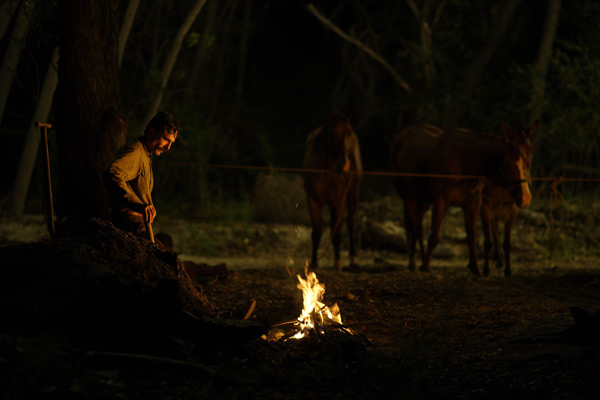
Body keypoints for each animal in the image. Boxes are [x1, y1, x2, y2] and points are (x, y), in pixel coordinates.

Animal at [302, 115, 364, 272]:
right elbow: (317, 231)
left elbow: (336, 230)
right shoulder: (312, 200)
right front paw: (314, 262)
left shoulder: (338, 200)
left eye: (349, 134)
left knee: (350, 222)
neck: (326, 172)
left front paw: (337, 262)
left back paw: (353, 257)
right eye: (330, 134)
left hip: (352, 195)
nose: (344, 165)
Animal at [392, 123, 536, 276]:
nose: (525, 197)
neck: (464, 160)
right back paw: (415, 263)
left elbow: (472, 237)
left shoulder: (473, 204)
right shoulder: (441, 201)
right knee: (416, 228)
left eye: (529, 157)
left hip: (424, 200)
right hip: (409, 198)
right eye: (508, 162)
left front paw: (476, 269)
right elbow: (434, 237)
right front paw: (426, 267)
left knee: (415, 226)